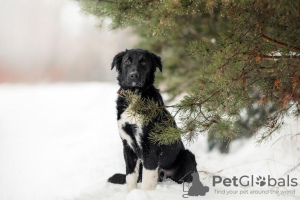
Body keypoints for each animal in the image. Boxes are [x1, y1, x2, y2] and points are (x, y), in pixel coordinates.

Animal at [107, 48, 197, 191]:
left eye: (144, 62)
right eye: (127, 61)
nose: (134, 75)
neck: (135, 97)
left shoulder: (150, 145)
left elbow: (147, 179)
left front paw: (145, 193)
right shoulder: (127, 144)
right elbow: (130, 176)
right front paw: (132, 193)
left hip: (188, 156)